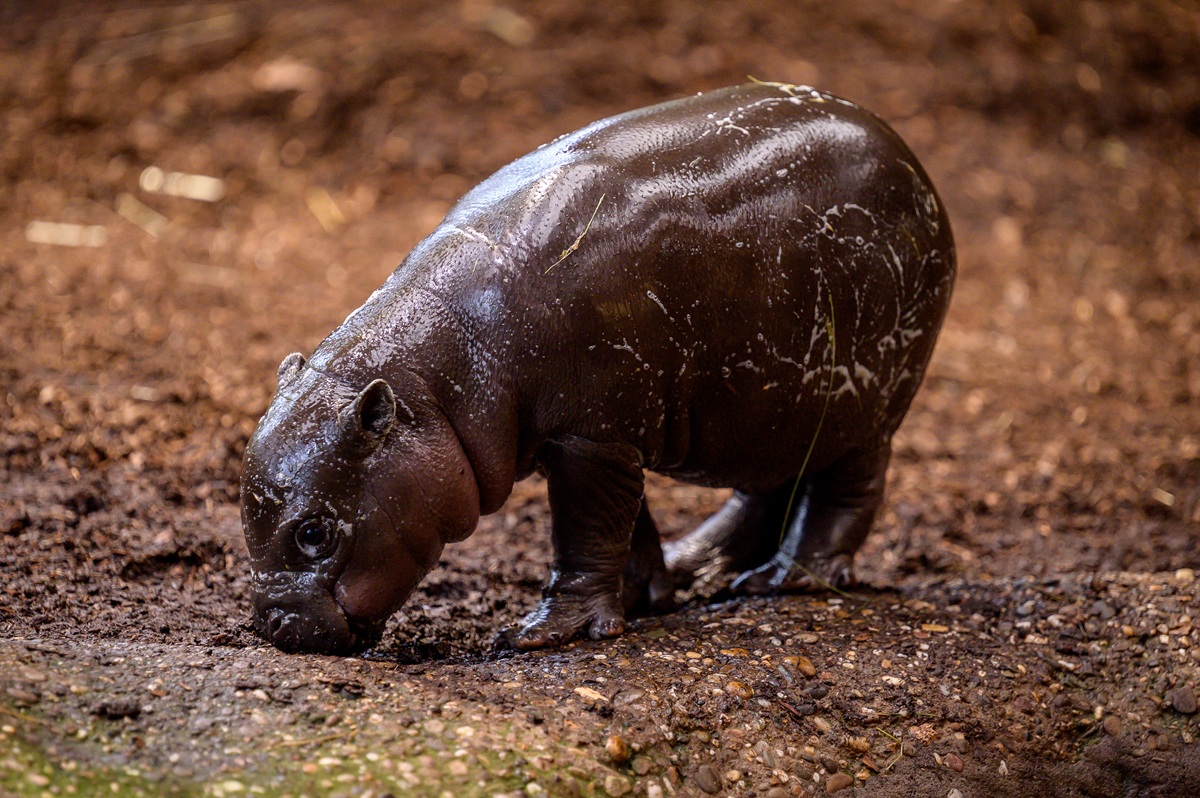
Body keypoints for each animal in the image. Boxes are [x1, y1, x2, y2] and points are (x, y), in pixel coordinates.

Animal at [240, 82, 955, 655]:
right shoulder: (604, 440)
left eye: (312, 532)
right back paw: (704, 569)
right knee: (768, 486)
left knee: (847, 489)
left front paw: (540, 634)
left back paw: (785, 579)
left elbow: (586, 533)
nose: (273, 629)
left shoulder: (592, 437)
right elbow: (625, 526)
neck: (434, 382)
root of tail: (910, 156)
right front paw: (647, 596)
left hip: (867, 399)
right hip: (773, 407)